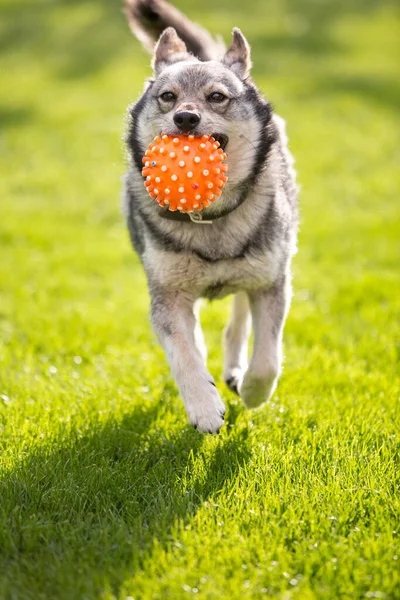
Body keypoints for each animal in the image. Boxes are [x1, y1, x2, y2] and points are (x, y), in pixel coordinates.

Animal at [123, 0, 298, 432]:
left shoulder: (272, 283)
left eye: (217, 96)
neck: (209, 217)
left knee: (239, 318)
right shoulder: (167, 295)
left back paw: (235, 373)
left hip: (259, 267)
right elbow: (184, 353)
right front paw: (203, 406)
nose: (185, 118)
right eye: (168, 97)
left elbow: (268, 358)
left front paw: (252, 392)